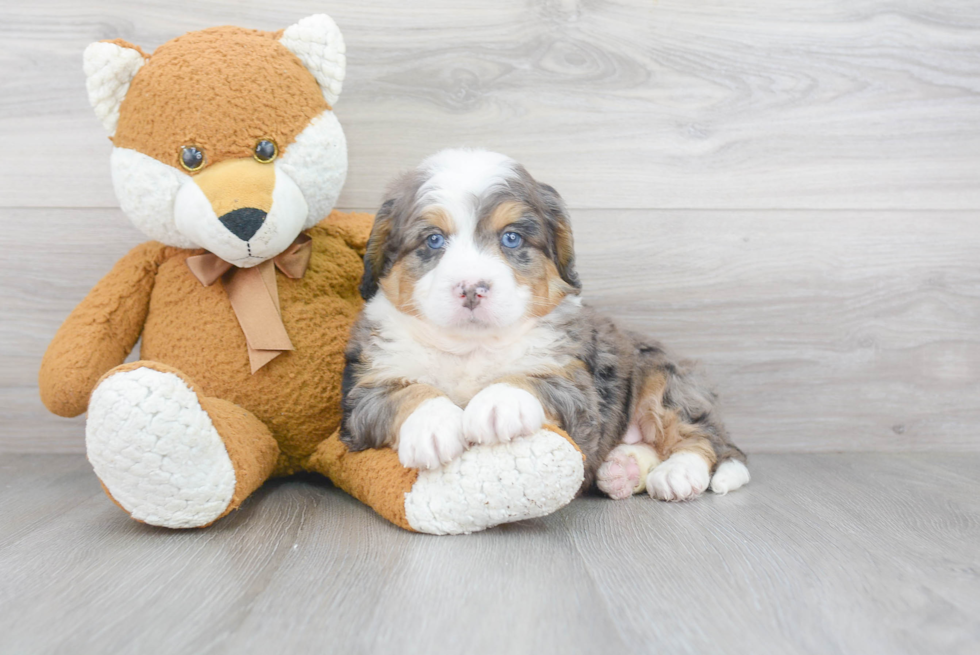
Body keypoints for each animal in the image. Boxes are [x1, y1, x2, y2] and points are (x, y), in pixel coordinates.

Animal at [338, 149, 752, 502]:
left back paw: (678, 474)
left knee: (704, 438)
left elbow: (532, 379)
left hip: (665, 379)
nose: (472, 288)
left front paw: (498, 403)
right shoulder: (364, 393)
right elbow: (407, 392)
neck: (470, 347)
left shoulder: (575, 385)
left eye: (511, 238)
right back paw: (624, 470)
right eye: (434, 240)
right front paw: (433, 425)